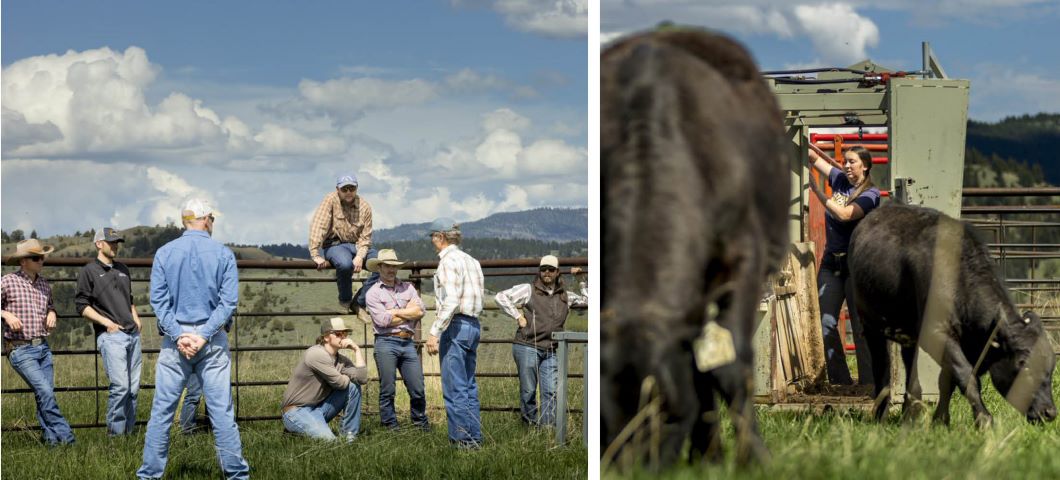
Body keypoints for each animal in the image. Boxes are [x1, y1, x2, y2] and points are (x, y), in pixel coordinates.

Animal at [602, 29, 792, 468]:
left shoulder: (743, 257)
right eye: (604, 422)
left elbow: (731, 364)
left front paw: (754, 458)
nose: (633, 472)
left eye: (668, 413)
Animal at [847, 203, 1055, 423]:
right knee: (879, 365)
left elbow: (947, 382)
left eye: (1051, 366)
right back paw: (880, 413)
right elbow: (966, 375)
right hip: (870, 324)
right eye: (1023, 364)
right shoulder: (936, 333)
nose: (1049, 412)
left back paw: (908, 413)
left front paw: (941, 420)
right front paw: (983, 419)